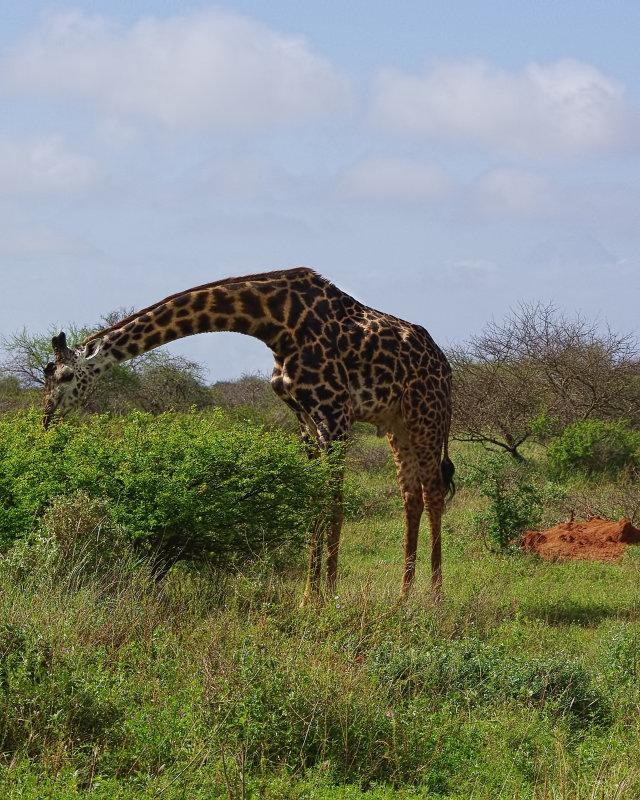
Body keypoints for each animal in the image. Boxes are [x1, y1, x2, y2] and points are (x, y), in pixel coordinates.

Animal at [42, 268, 452, 600]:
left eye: (64, 376)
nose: (46, 421)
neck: (276, 322)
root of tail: (445, 363)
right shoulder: (304, 419)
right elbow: (314, 501)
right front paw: (309, 597)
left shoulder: (335, 414)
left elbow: (334, 504)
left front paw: (330, 597)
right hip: (397, 423)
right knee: (410, 497)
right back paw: (404, 597)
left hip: (426, 414)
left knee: (433, 492)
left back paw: (433, 598)